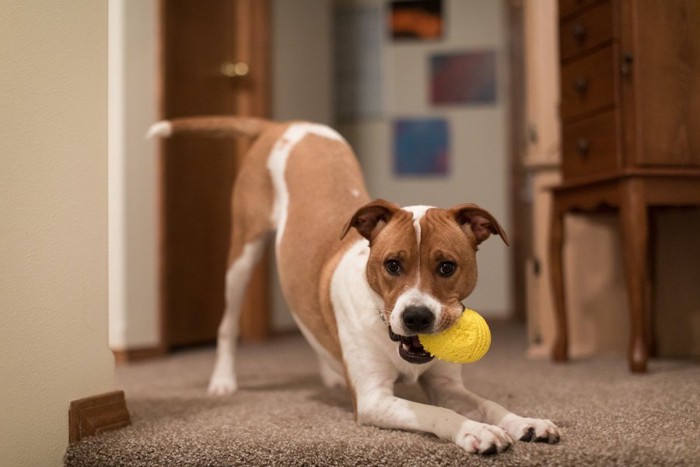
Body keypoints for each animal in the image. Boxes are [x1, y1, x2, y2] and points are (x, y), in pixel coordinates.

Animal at [150, 116, 560, 454]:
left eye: (447, 267)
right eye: (392, 264)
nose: (416, 317)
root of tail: (282, 124)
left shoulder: (447, 385)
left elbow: (488, 403)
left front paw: (524, 422)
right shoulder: (373, 399)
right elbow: (436, 414)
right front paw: (474, 430)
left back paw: (330, 373)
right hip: (242, 254)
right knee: (227, 324)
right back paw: (223, 380)